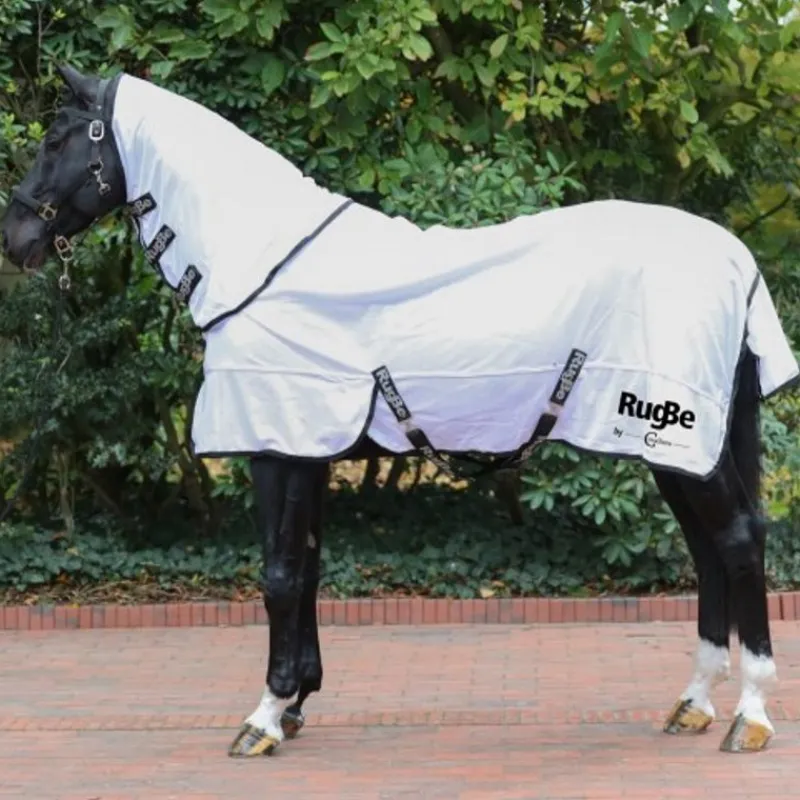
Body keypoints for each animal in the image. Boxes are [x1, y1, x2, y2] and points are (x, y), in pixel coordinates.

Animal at [2, 64, 798, 758]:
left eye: (57, 140)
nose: (17, 239)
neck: (263, 267)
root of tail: (734, 258)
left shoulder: (277, 451)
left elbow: (279, 574)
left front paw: (264, 715)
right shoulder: (308, 453)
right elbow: (308, 568)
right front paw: (297, 702)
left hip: (677, 438)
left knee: (735, 539)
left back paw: (750, 714)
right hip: (680, 446)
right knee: (708, 548)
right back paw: (694, 702)